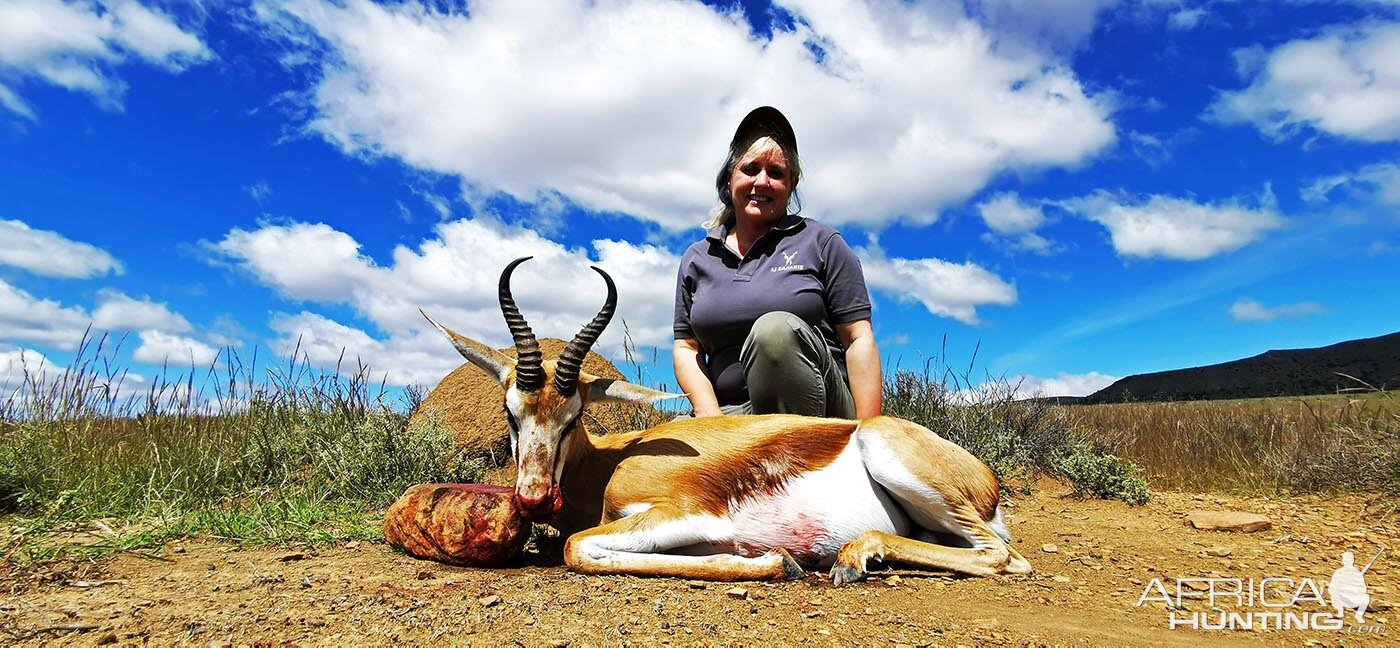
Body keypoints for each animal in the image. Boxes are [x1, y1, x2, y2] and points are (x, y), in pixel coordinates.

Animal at [420, 258, 1036, 582]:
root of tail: (985, 480)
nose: (531, 498)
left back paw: (852, 556)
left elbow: (578, 548)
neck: (611, 463)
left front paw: (779, 560)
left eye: (574, 418)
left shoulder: (688, 512)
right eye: (510, 413)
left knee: (1006, 556)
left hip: (893, 456)